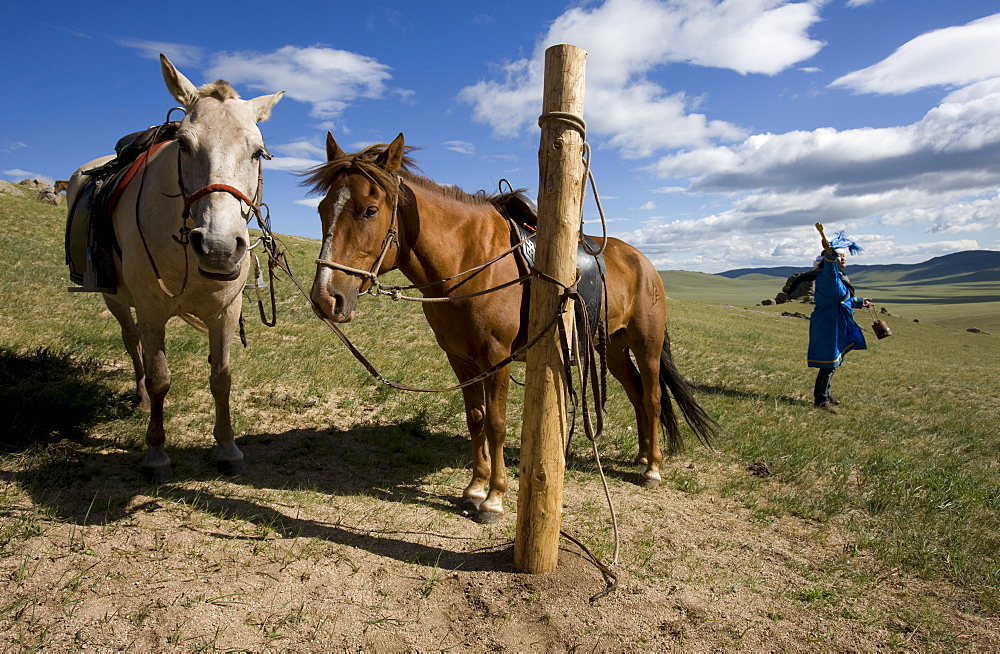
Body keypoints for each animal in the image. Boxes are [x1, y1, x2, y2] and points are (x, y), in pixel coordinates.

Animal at [65, 55, 286, 482]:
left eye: (258, 152)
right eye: (183, 143)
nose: (218, 246)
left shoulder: (226, 312)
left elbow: (221, 378)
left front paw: (228, 449)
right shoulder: (151, 309)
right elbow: (159, 379)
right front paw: (156, 455)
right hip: (114, 297)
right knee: (131, 340)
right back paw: (138, 399)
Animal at [306, 132, 720, 524]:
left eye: (370, 210)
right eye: (323, 209)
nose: (326, 298)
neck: (471, 261)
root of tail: (645, 263)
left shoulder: (496, 358)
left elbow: (498, 423)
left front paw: (494, 499)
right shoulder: (461, 360)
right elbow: (476, 420)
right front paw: (474, 488)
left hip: (646, 346)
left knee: (652, 397)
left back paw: (653, 468)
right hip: (614, 348)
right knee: (636, 395)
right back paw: (641, 456)